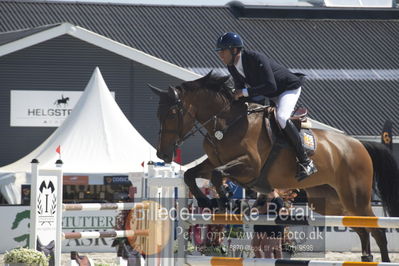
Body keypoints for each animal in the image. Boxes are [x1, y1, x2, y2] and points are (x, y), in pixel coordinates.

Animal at [150, 70, 399, 262]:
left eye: (172, 113)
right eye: (158, 114)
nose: (162, 154)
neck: (226, 123)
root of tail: (358, 144)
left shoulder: (249, 166)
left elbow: (217, 175)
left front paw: (225, 202)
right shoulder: (214, 161)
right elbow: (192, 174)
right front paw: (206, 202)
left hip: (356, 197)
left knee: (377, 232)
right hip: (332, 202)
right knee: (362, 229)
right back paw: (366, 258)